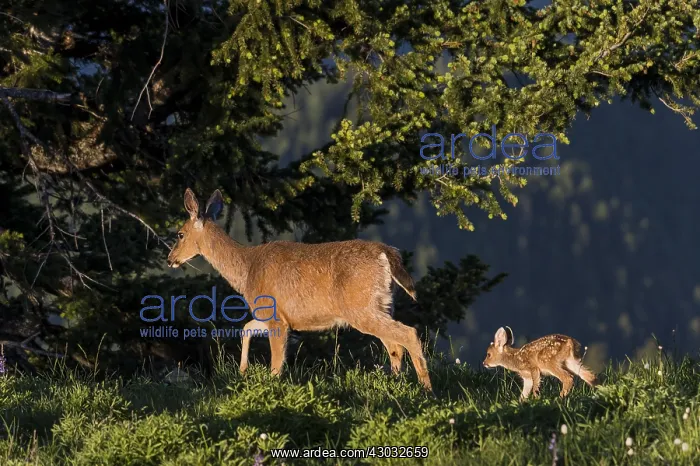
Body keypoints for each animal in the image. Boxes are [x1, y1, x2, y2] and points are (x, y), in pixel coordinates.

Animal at [166, 188, 433, 391]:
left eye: (180, 234)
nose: (170, 259)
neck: (247, 269)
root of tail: (387, 253)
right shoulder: (274, 315)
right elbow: (246, 328)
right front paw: (243, 370)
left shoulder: (275, 315)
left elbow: (276, 362)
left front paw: (271, 386)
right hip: (382, 304)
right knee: (395, 345)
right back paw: (396, 383)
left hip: (361, 307)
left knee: (408, 334)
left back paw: (425, 389)